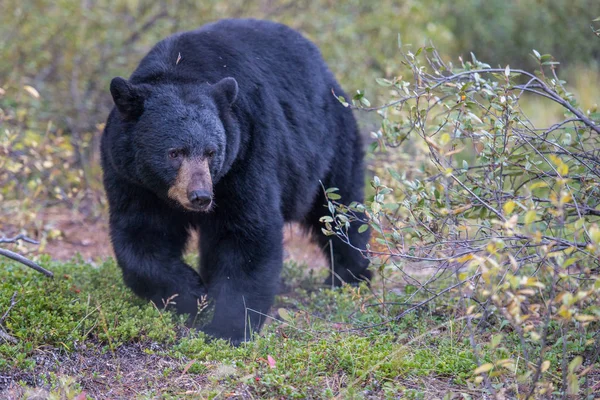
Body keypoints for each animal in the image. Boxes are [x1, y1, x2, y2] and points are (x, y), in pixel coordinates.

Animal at [101, 19, 370, 344]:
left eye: (211, 151)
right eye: (174, 152)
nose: (200, 196)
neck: (177, 67)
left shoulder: (245, 153)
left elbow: (247, 233)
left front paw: (225, 328)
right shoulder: (130, 176)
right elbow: (141, 234)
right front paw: (192, 293)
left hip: (329, 142)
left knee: (341, 207)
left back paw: (350, 277)